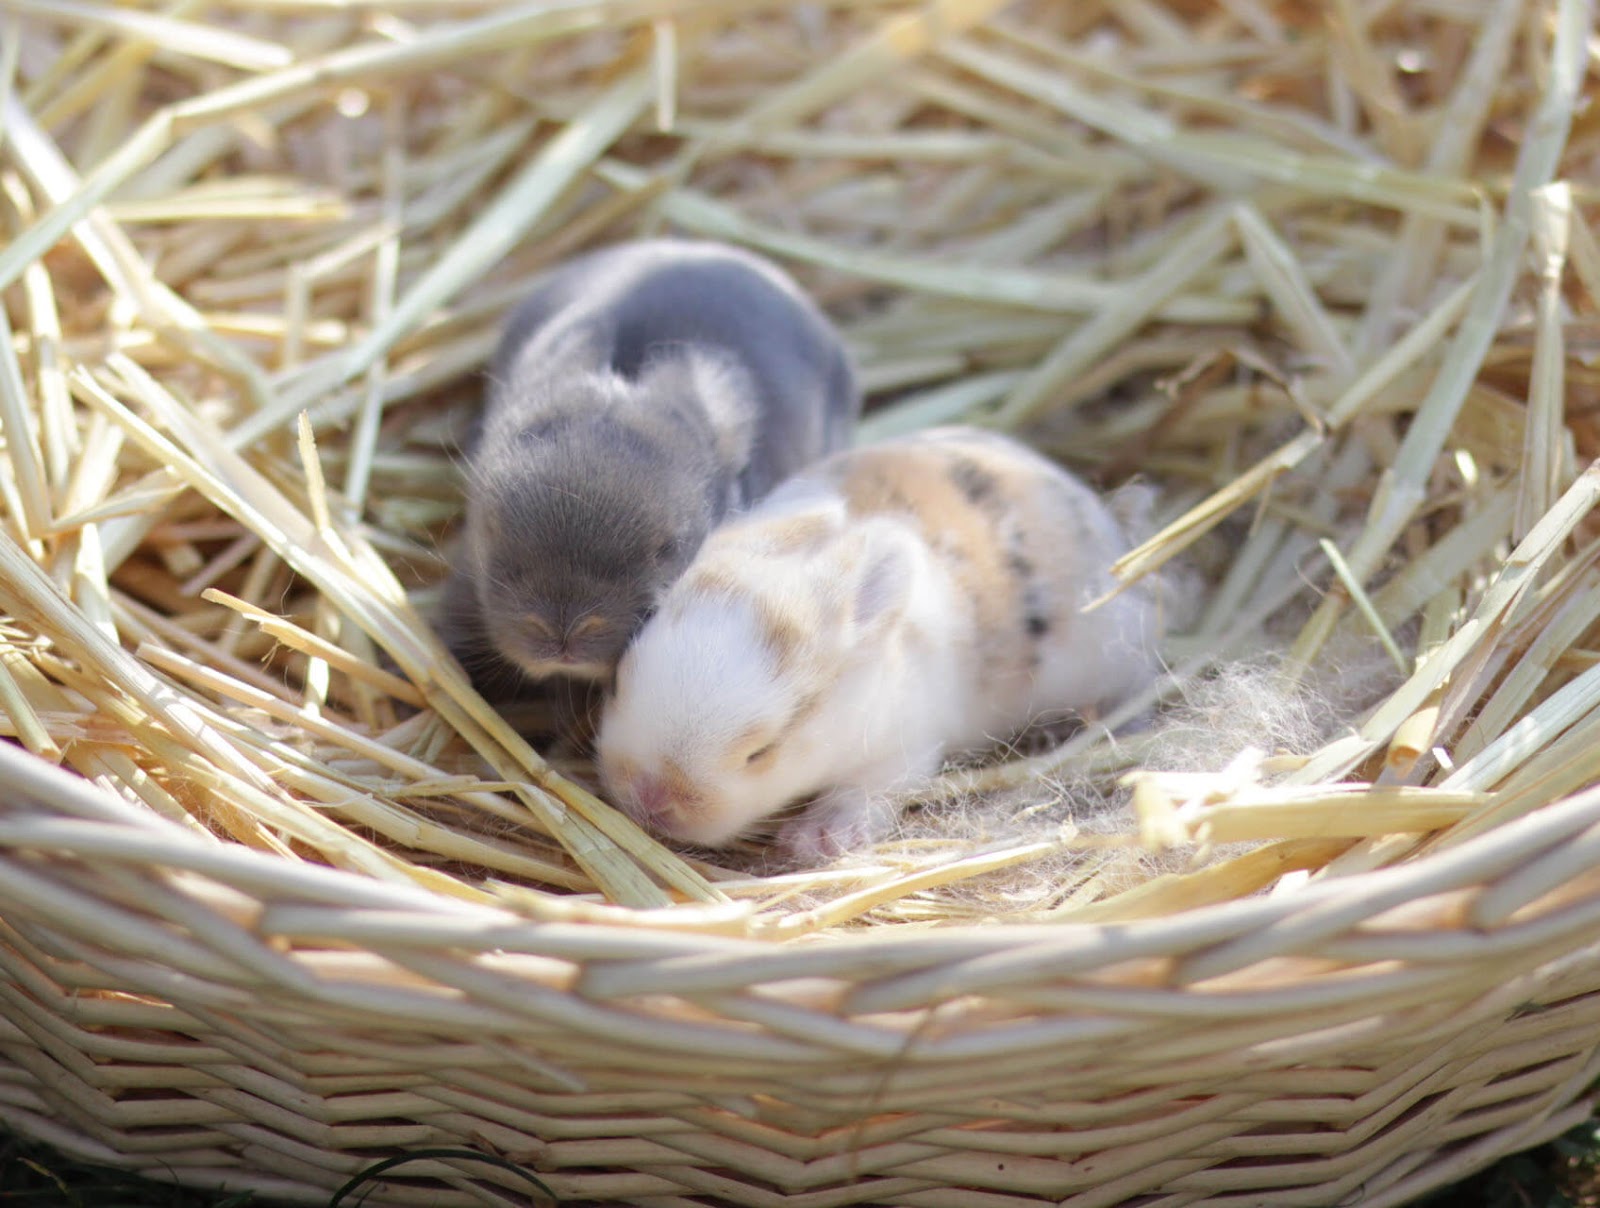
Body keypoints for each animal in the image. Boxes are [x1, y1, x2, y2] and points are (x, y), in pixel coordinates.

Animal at [596, 425, 1162, 863]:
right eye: (618, 683)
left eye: (762, 751)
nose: (649, 797)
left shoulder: (903, 748)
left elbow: (868, 789)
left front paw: (818, 839)